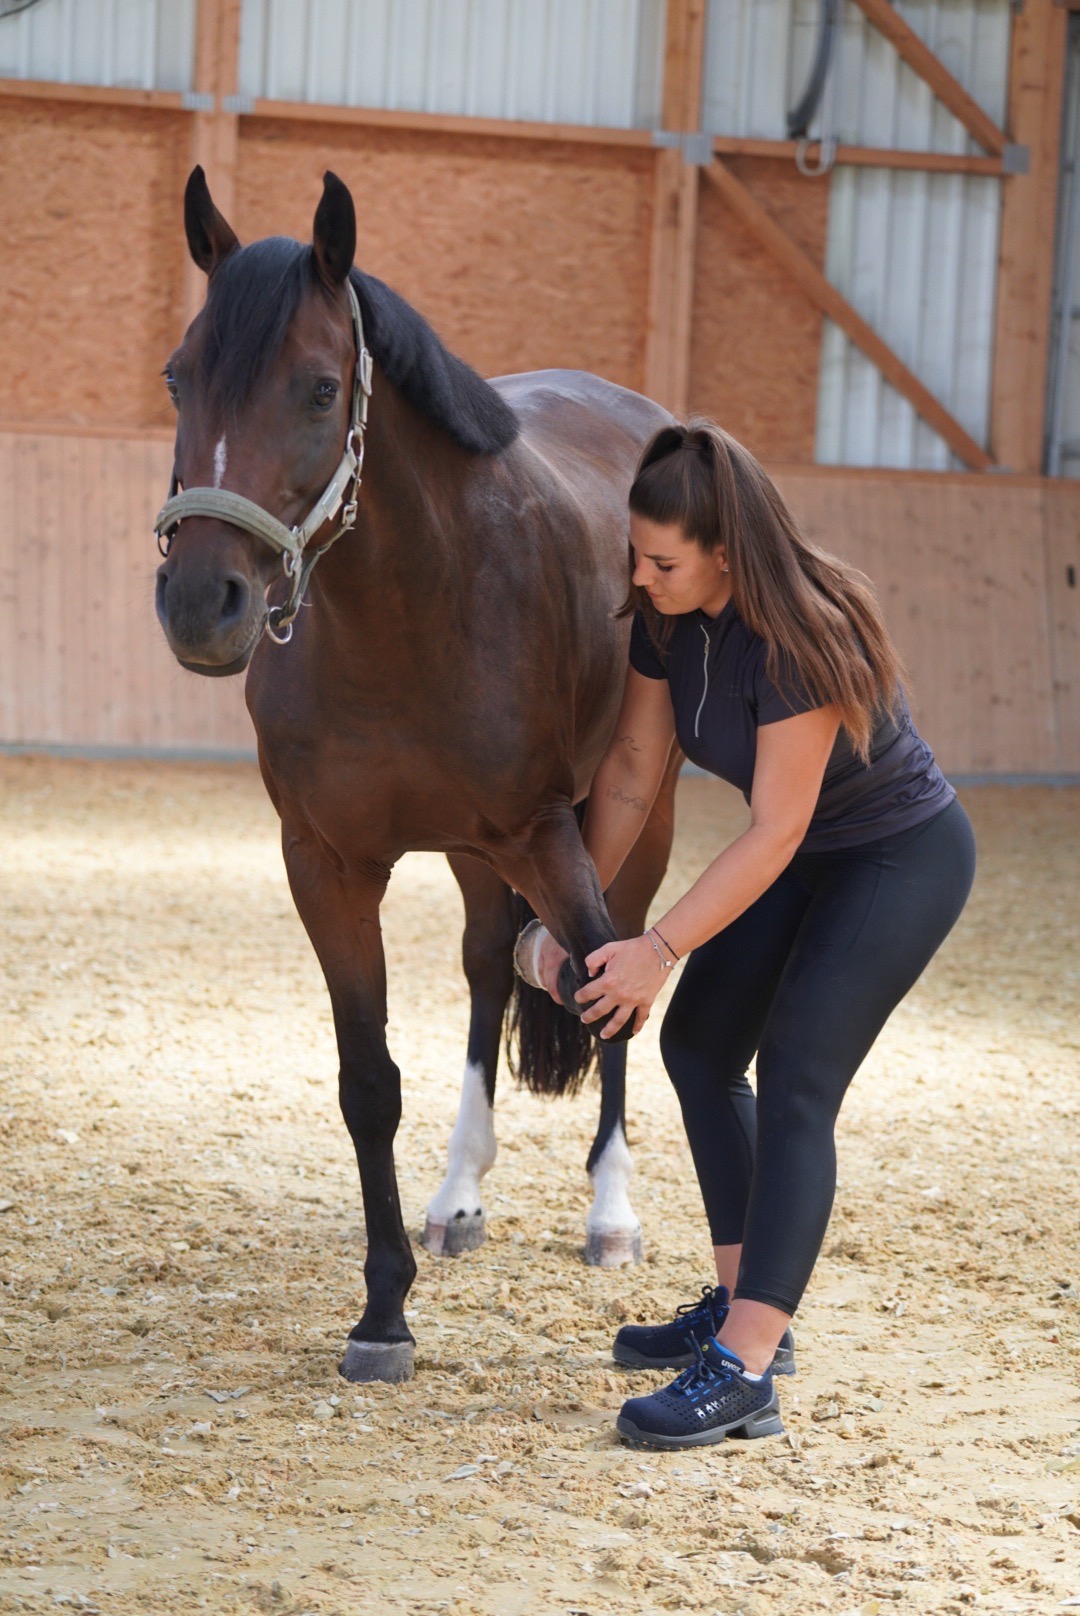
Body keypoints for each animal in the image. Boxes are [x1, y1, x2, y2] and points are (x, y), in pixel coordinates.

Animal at [153, 167, 681, 1384]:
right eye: (177, 376)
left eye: (317, 389)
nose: (201, 603)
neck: (408, 607)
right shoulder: (330, 863)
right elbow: (369, 1081)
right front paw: (384, 1306)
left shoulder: (547, 833)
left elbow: (608, 989)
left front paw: (614, 1220)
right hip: (477, 856)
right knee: (490, 968)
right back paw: (458, 1194)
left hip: (636, 822)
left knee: (617, 980)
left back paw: (608, 1210)